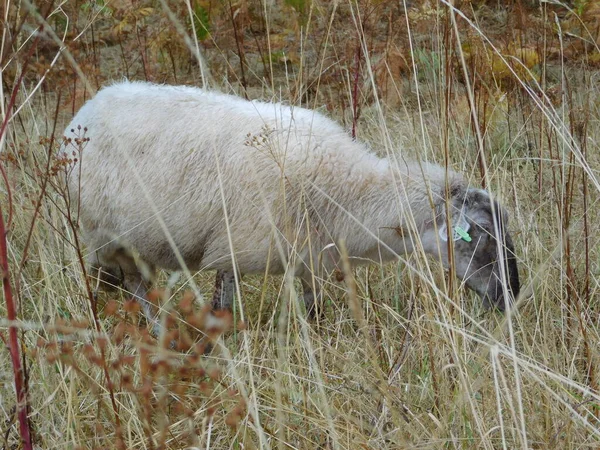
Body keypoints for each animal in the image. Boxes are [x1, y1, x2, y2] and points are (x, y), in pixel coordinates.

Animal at [62, 82, 520, 332]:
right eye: (479, 236)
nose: (510, 296)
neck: (349, 190)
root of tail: (90, 106)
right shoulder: (235, 246)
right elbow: (223, 307)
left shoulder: (309, 255)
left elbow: (314, 308)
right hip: (109, 236)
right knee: (137, 291)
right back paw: (159, 334)